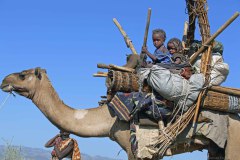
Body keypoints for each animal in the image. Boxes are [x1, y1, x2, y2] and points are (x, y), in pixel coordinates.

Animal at [0, 67, 240, 159]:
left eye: (22, 75)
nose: (4, 81)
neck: (108, 118)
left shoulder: (133, 146)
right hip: (217, 146)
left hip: (234, 137)